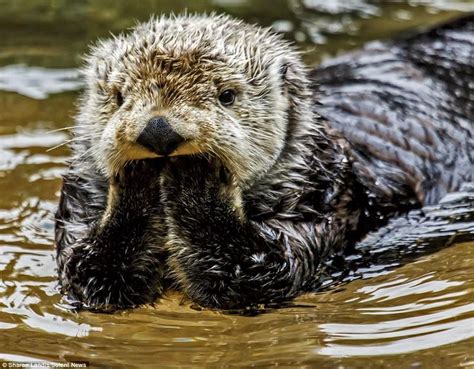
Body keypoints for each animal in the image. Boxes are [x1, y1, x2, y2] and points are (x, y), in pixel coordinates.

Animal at [56, 12, 474, 310]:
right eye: (119, 96)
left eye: (227, 95)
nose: (159, 130)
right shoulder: (80, 203)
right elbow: (88, 271)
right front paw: (136, 175)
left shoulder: (321, 199)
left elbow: (264, 270)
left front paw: (198, 172)